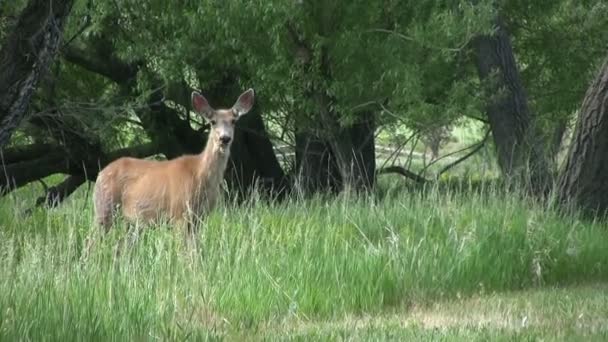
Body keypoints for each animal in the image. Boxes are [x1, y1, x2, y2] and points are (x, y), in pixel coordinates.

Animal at [92, 87, 254, 235]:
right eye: (213, 122)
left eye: (233, 121)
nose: (224, 138)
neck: (200, 174)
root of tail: (101, 174)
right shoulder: (179, 212)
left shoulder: (200, 216)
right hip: (106, 206)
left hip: (130, 222)